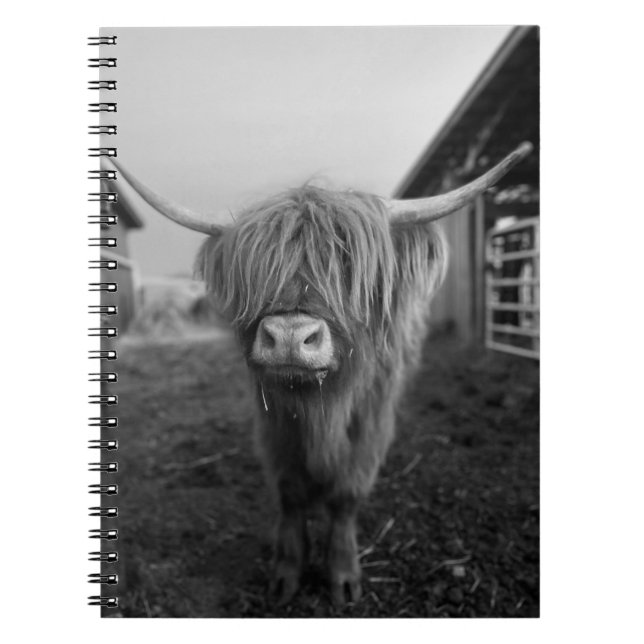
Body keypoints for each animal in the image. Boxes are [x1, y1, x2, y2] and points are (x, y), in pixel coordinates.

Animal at [105, 142, 532, 606]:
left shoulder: (372, 419)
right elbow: (290, 493)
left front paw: (342, 574)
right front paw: (287, 571)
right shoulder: (272, 421)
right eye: (259, 269)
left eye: (348, 265)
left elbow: (346, 494)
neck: (318, 410)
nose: (290, 336)